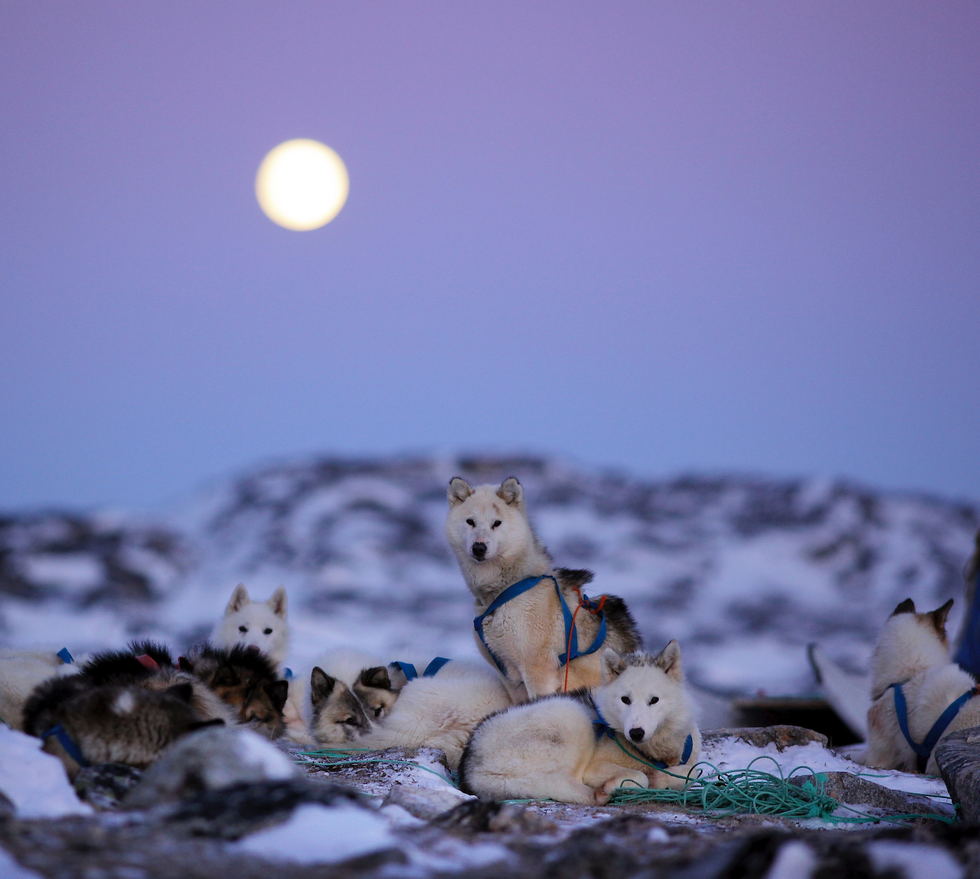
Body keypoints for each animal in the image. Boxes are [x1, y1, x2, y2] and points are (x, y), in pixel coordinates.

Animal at [446, 478, 644, 704]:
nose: (479, 547)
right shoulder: (510, 678)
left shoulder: (538, 671)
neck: (505, 590)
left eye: (496, 523)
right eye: (470, 521)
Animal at [458, 640, 696, 804]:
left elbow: (689, 774)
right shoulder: (595, 767)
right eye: (625, 699)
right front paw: (630, 781)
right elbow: (641, 776)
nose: (636, 732)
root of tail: (471, 767)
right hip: (573, 716)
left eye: (654, 700)